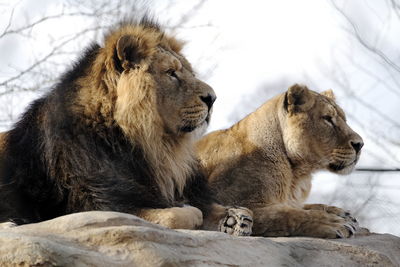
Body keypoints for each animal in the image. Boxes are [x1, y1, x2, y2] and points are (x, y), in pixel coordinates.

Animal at [0, 18, 252, 237]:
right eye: (171, 73)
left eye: (189, 73)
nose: (212, 98)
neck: (153, 146)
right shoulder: (97, 204)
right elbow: (176, 215)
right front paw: (191, 211)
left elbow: (229, 208)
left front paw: (235, 218)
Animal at [195, 84, 364, 239]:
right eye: (328, 118)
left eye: (344, 119)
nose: (360, 144)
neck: (296, 174)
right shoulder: (230, 199)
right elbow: (289, 215)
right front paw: (333, 222)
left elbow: (305, 207)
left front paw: (342, 213)